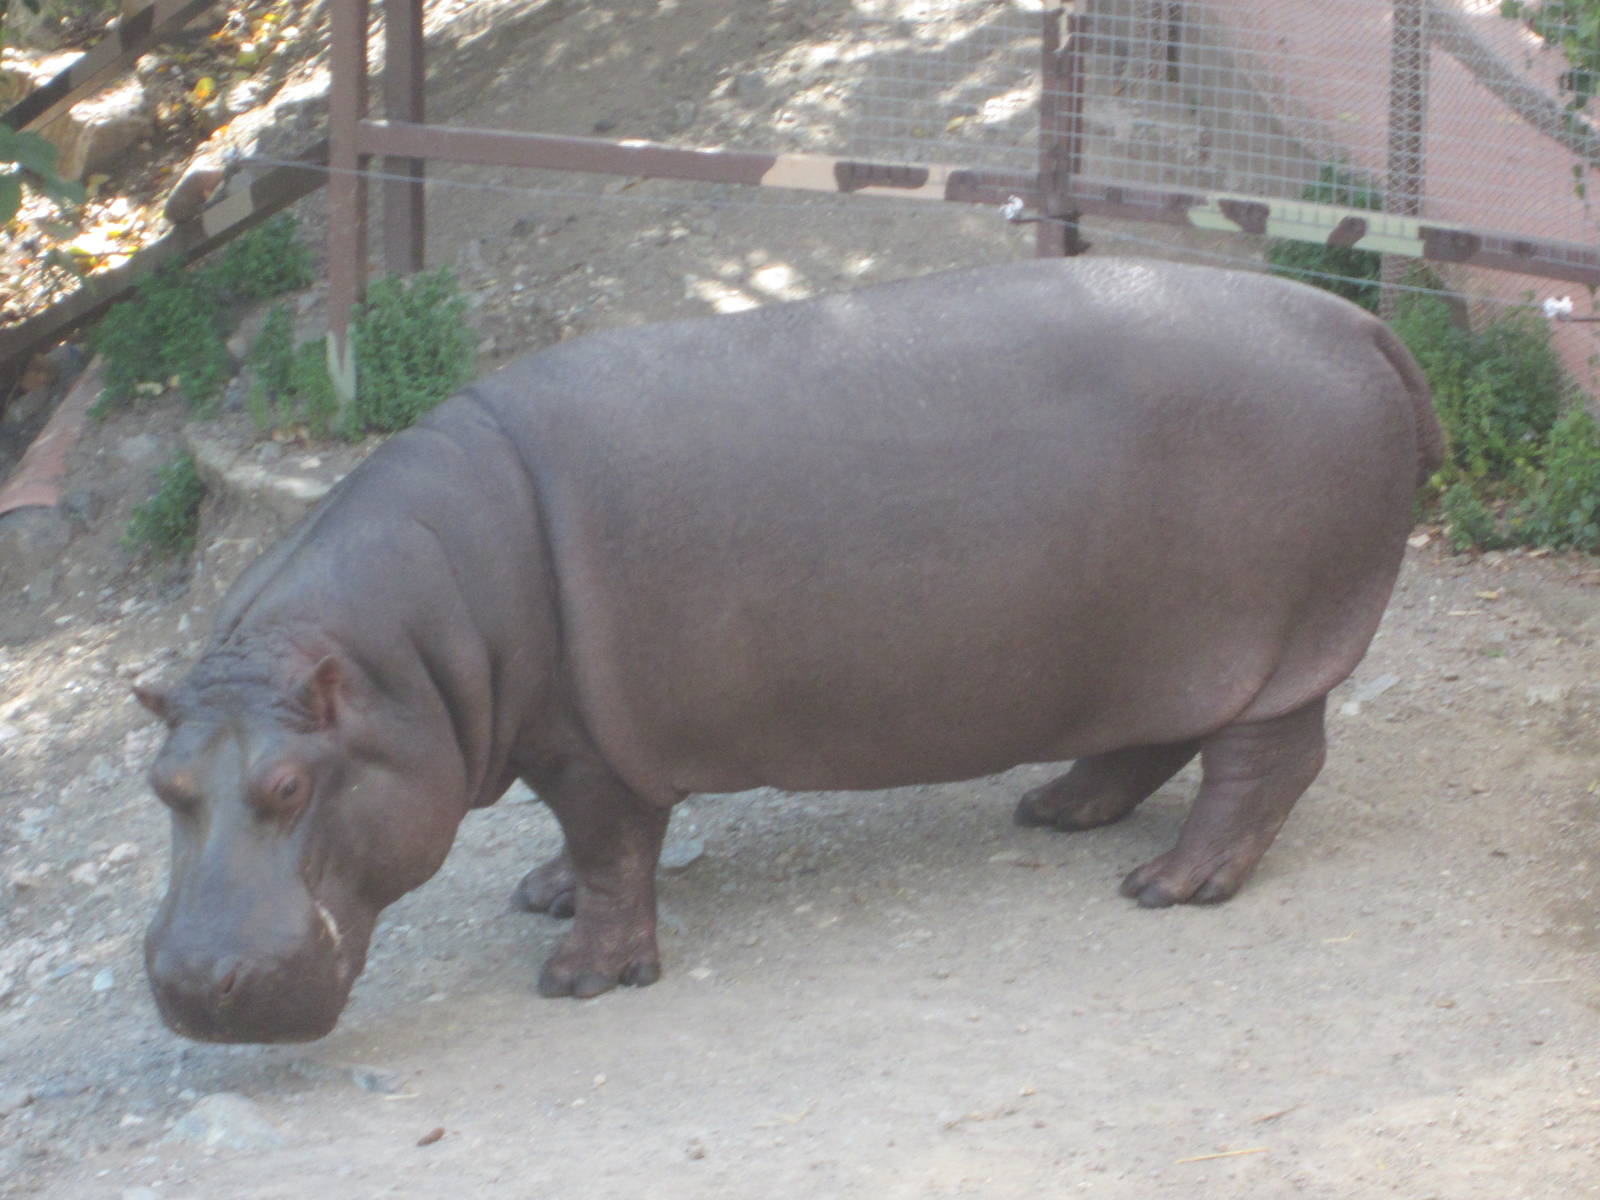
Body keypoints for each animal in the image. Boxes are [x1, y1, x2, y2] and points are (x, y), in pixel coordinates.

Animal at [135, 257, 1441, 1042]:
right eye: (162, 785)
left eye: (289, 784)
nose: (196, 984)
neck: (401, 652)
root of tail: (1360, 319)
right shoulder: (557, 739)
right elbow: (582, 847)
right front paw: (540, 894)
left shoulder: (591, 746)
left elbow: (612, 848)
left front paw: (581, 977)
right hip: (1150, 644)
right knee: (1151, 741)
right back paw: (1056, 811)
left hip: (1276, 642)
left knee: (1264, 767)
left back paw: (1169, 886)